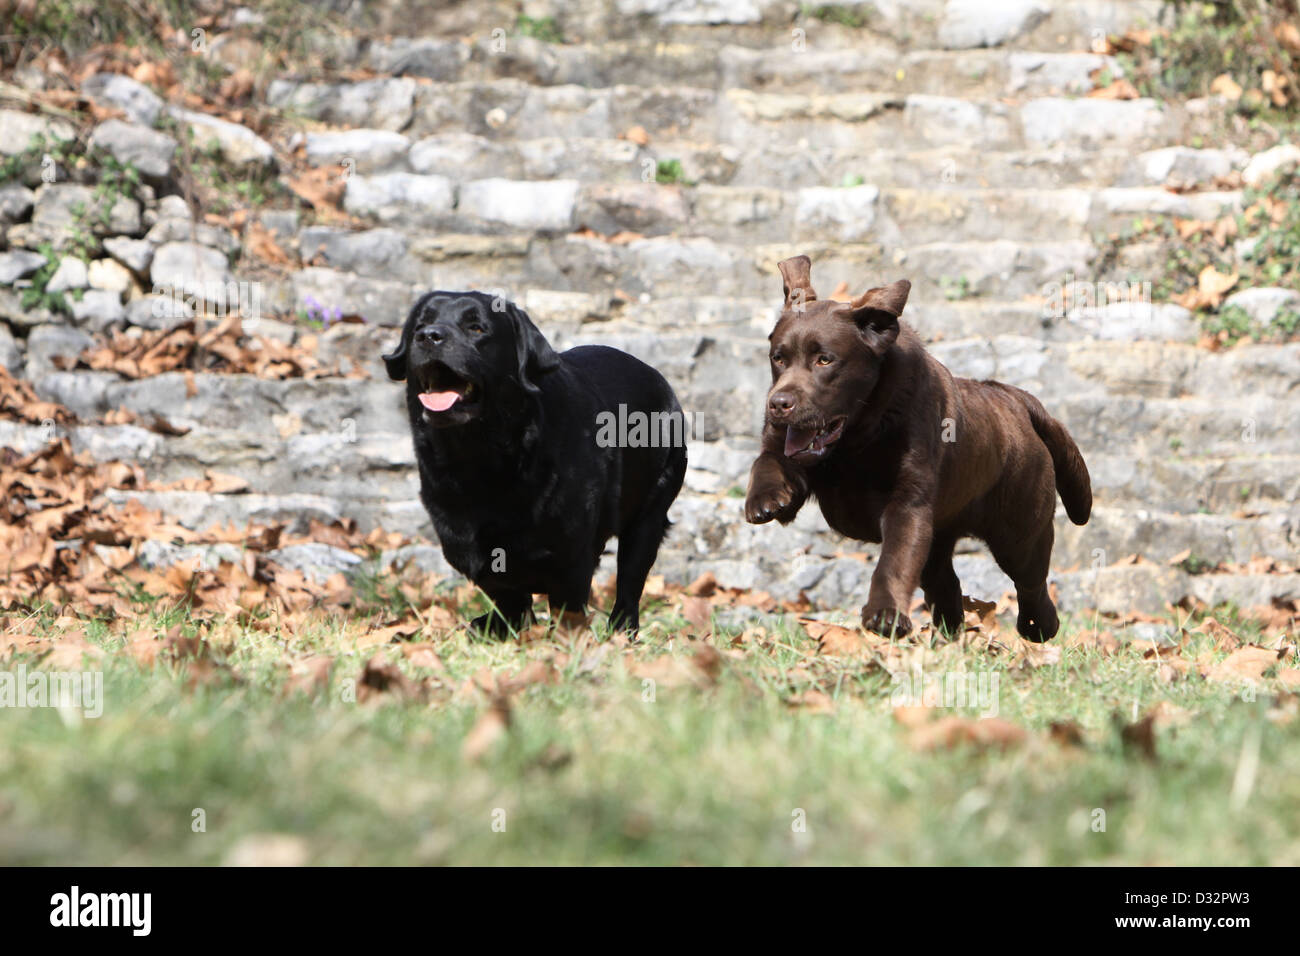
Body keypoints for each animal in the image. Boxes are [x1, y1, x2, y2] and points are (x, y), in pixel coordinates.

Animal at [379, 291, 686, 634]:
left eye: (476, 328)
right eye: (420, 324)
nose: (429, 335)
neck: (479, 460)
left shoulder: (572, 556)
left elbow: (567, 604)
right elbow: (507, 592)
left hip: (651, 510)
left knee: (630, 583)